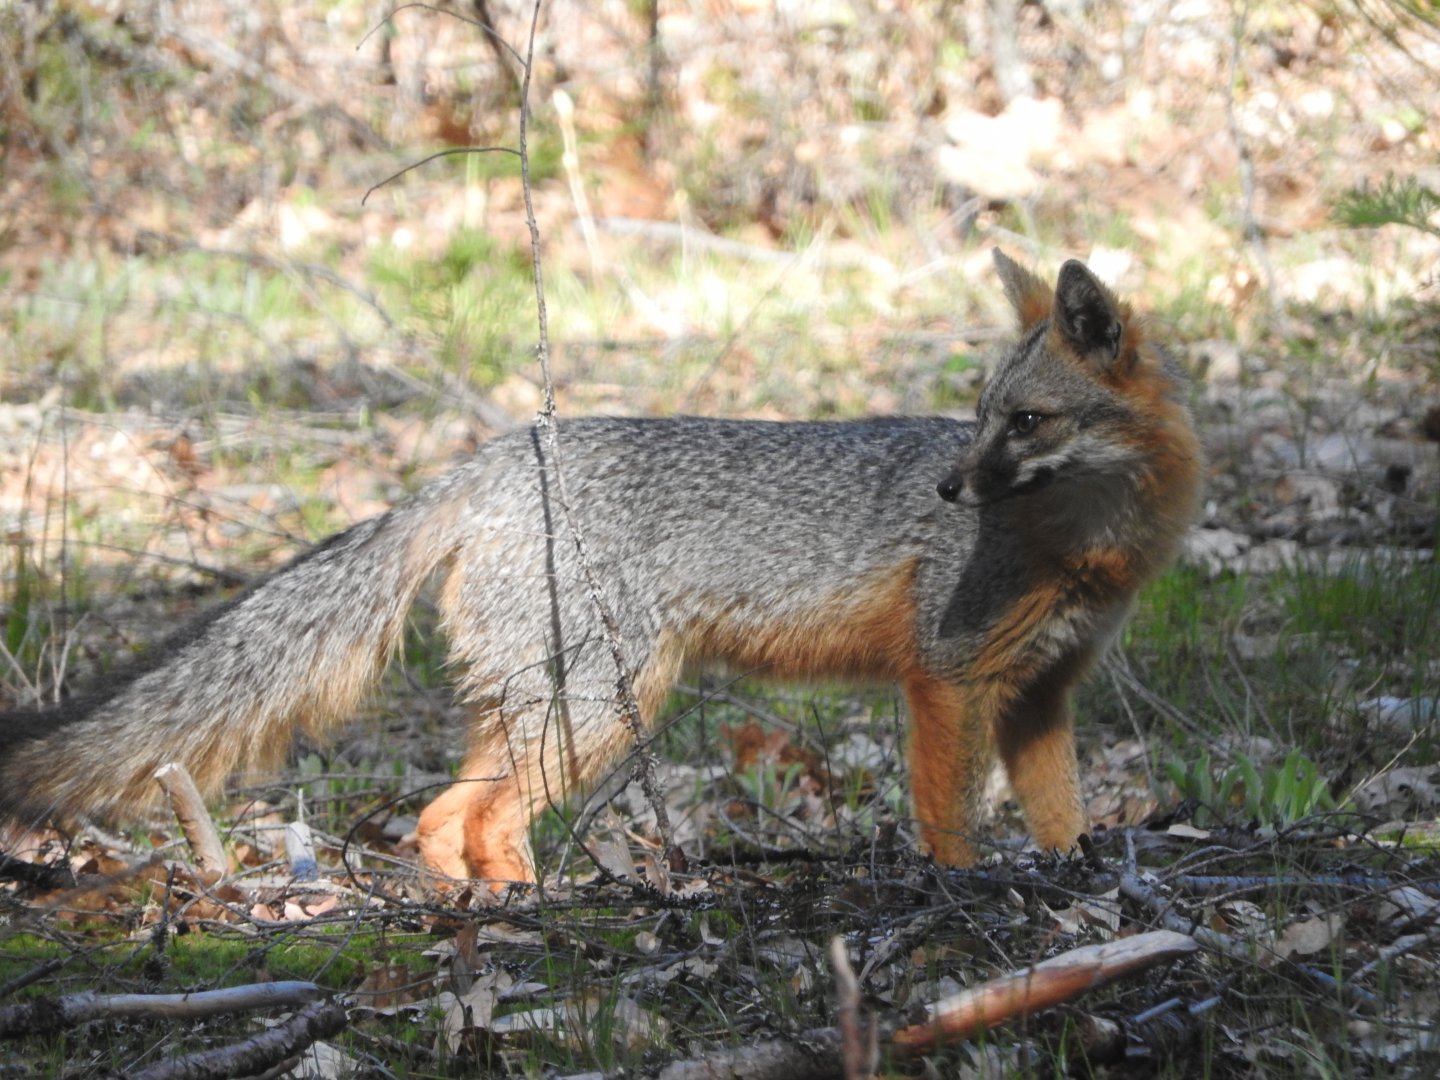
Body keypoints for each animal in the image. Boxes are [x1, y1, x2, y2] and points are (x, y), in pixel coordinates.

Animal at [0, 251, 1202, 885]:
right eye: (982, 417)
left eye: (1024, 421)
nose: (951, 489)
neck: (1084, 552)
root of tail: (490, 454)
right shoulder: (948, 681)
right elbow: (950, 823)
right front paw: (956, 896)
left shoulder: (1042, 695)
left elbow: (1061, 819)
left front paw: (1078, 880)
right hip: (599, 712)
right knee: (474, 817)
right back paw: (534, 910)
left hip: (543, 710)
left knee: (445, 816)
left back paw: (490, 910)